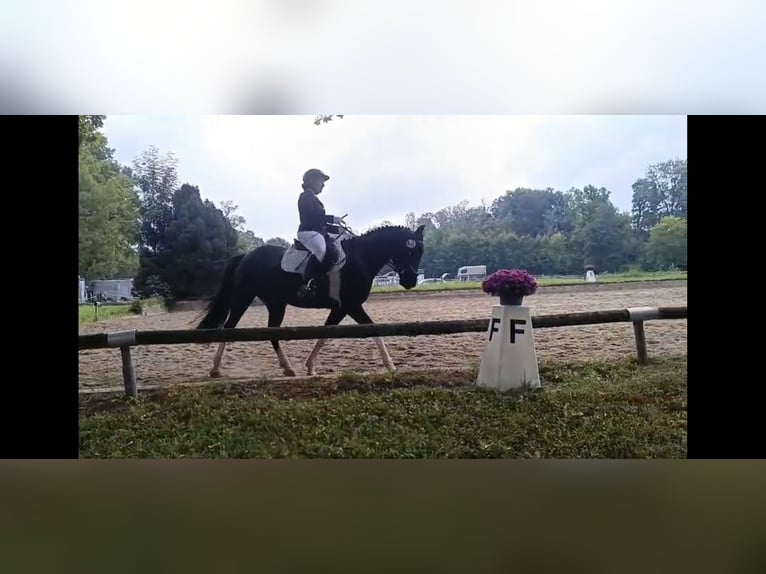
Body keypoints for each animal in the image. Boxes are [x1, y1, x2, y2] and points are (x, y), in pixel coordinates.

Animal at [195, 222, 426, 378]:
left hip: (276, 304)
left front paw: (310, 366)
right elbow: (373, 329)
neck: (361, 257)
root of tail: (246, 255)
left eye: (420, 252)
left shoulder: (341, 308)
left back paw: (288, 368)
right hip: (244, 298)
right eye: (410, 251)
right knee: (229, 327)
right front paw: (390, 365)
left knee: (272, 332)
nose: (410, 281)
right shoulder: (351, 306)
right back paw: (215, 369)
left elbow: (325, 333)